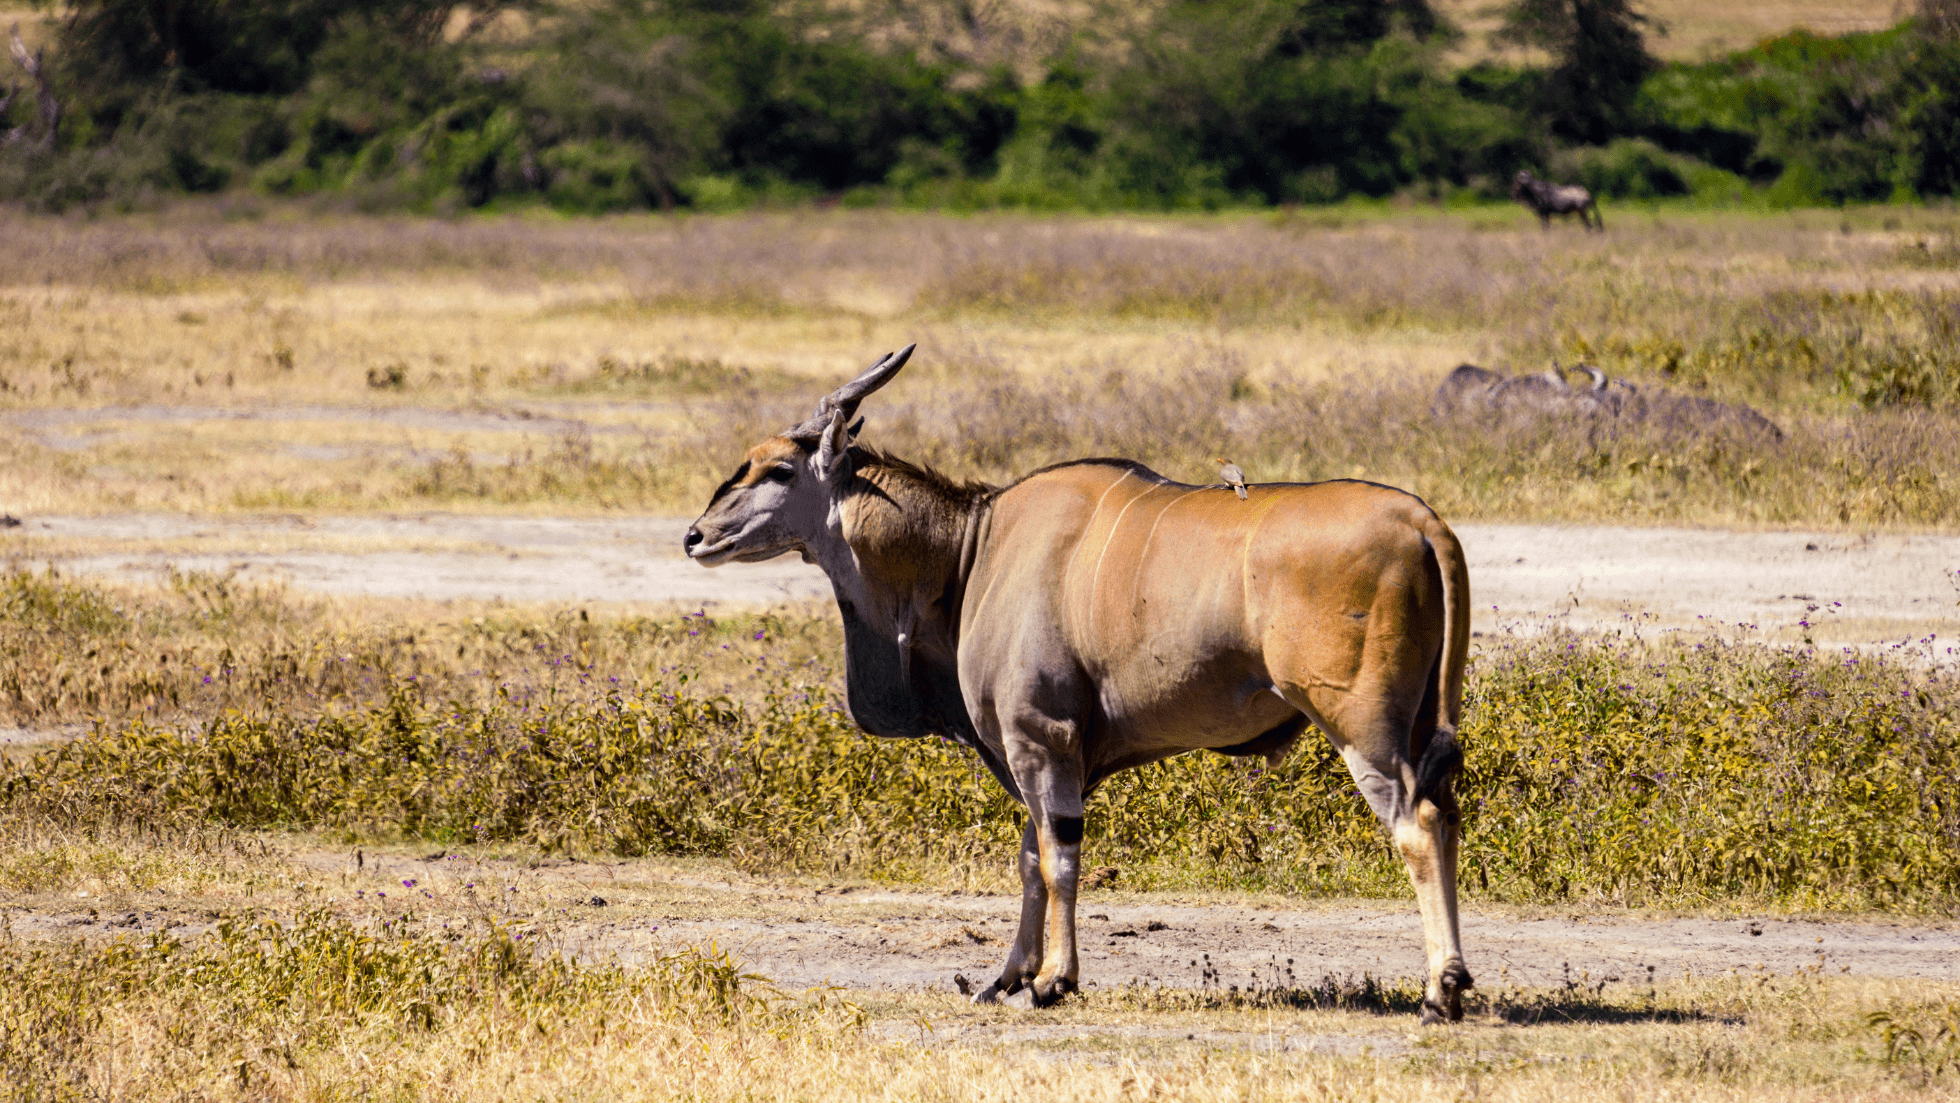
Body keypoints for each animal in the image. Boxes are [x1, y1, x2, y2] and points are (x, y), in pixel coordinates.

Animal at [685, 346, 1475, 1023]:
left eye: (777, 470)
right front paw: (1005, 977)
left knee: (1417, 823)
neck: (970, 549)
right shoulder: (1042, 754)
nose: (694, 535)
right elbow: (1030, 859)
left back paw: (1441, 990)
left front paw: (1050, 981)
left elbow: (1058, 856)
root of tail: (1422, 521)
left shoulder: (1040, 739)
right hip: (1416, 724)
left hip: (1362, 727)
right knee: (1448, 812)